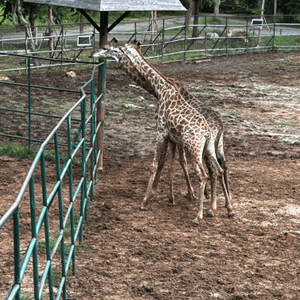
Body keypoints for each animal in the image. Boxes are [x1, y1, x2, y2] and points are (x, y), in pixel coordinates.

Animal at [91, 39, 234, 218]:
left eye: (106, 48)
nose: (92, 53)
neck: (158, 89)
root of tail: (218, 126)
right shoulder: (173, 137)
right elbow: (172, 164)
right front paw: (173, 197)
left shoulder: (161, 131)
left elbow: (159, 163)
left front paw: (148, 199)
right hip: (215, 146)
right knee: (221, 168)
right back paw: (227, 207)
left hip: (196, 147)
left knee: (207, 173)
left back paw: (205, 211)